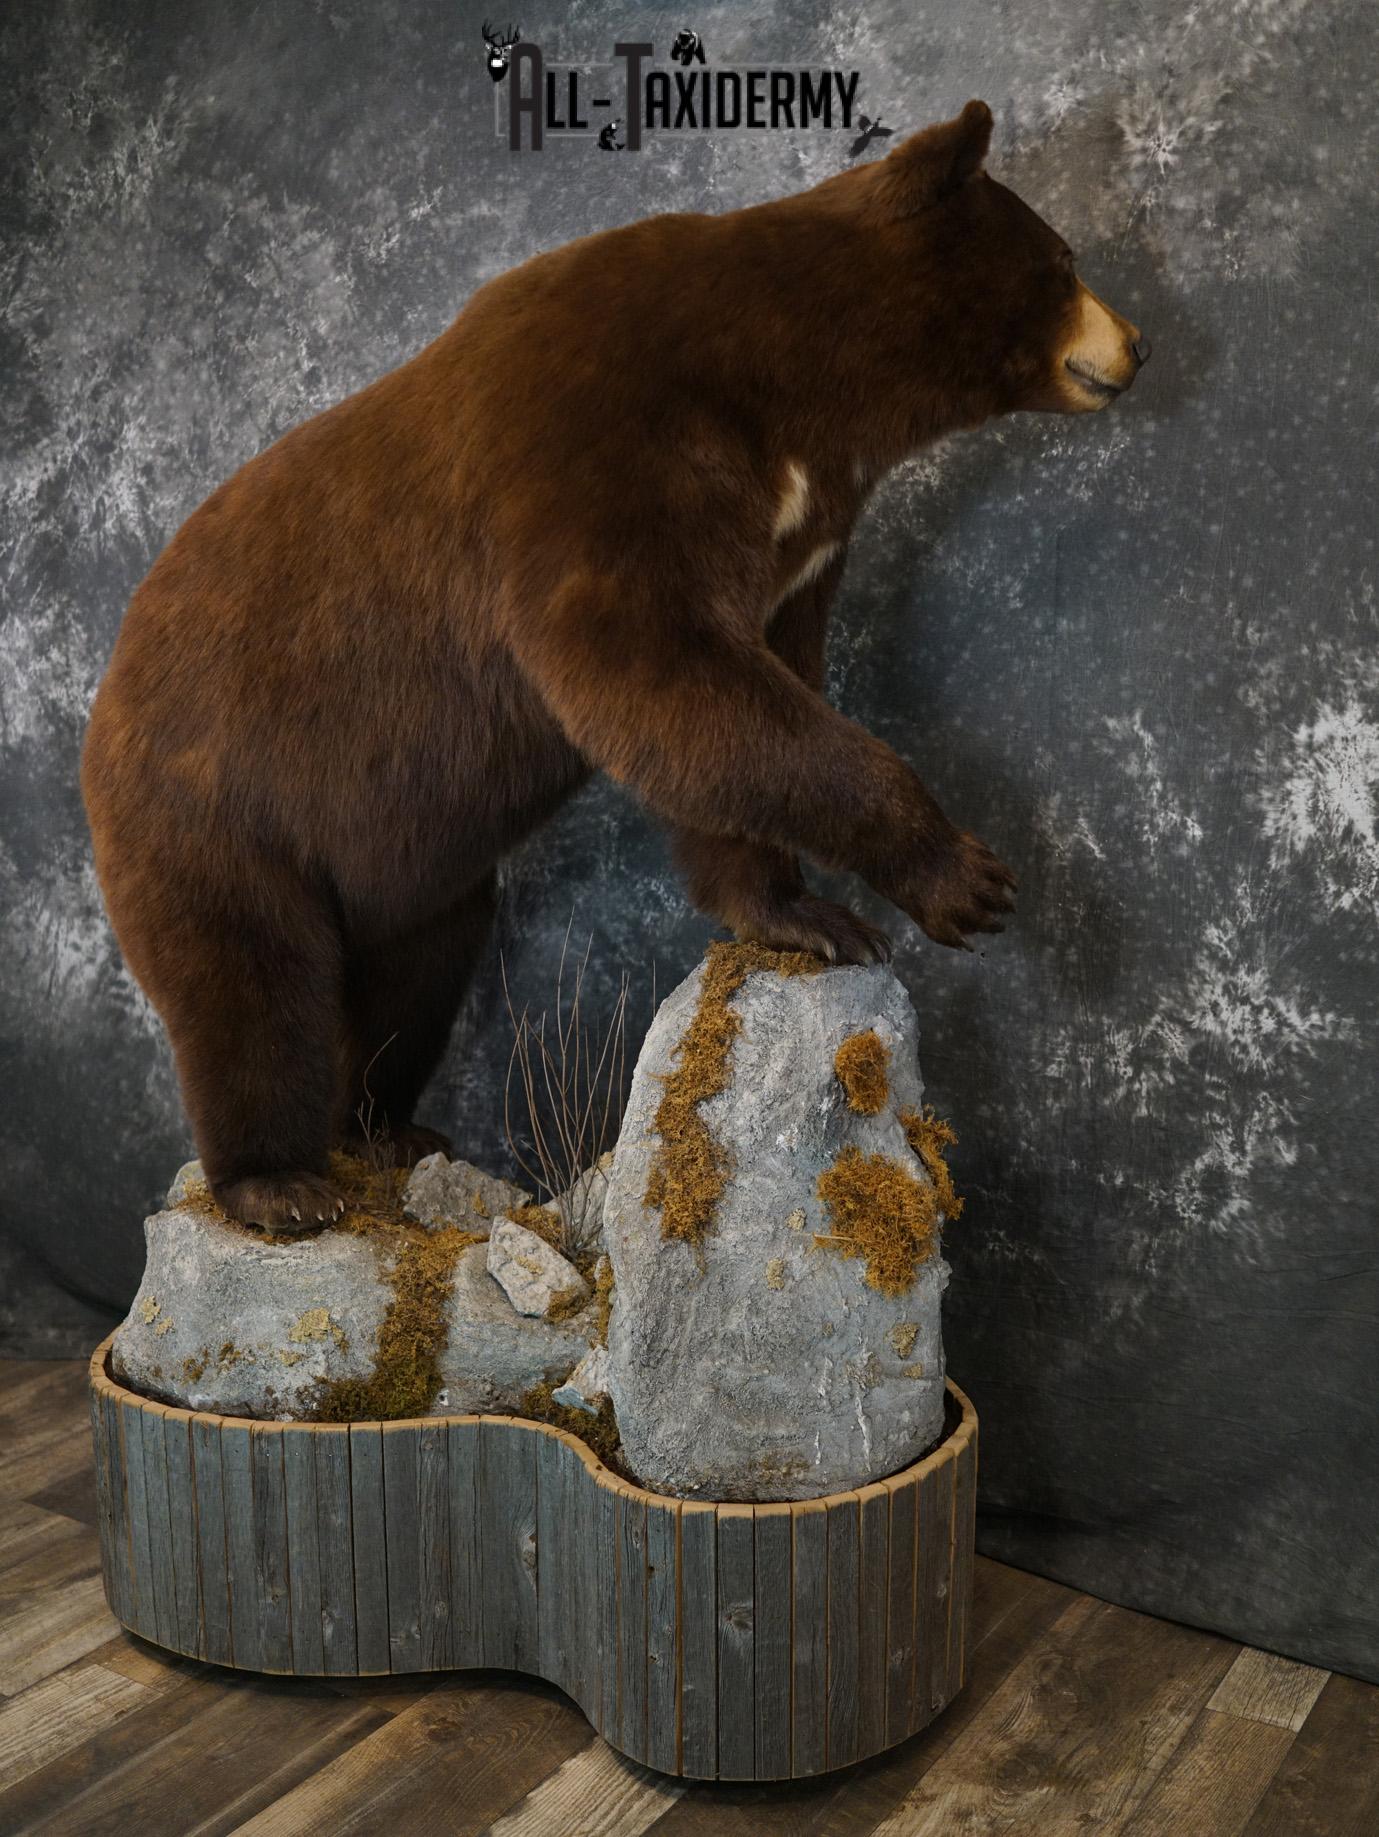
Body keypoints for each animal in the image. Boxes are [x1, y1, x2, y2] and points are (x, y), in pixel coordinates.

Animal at [81, 100, 1149, 1232]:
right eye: (1065, 258)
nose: (1138, 344)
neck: (794, 378)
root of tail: (104, 705)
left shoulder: (796, 538)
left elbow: (743, 696)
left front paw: (799, 916)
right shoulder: (597, 452)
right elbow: (654, 672)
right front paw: (959, 878)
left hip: (405, 871)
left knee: (412, 974)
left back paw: (382, 1127)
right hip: (214, 806)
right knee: (248, 983)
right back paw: (277, 1179)